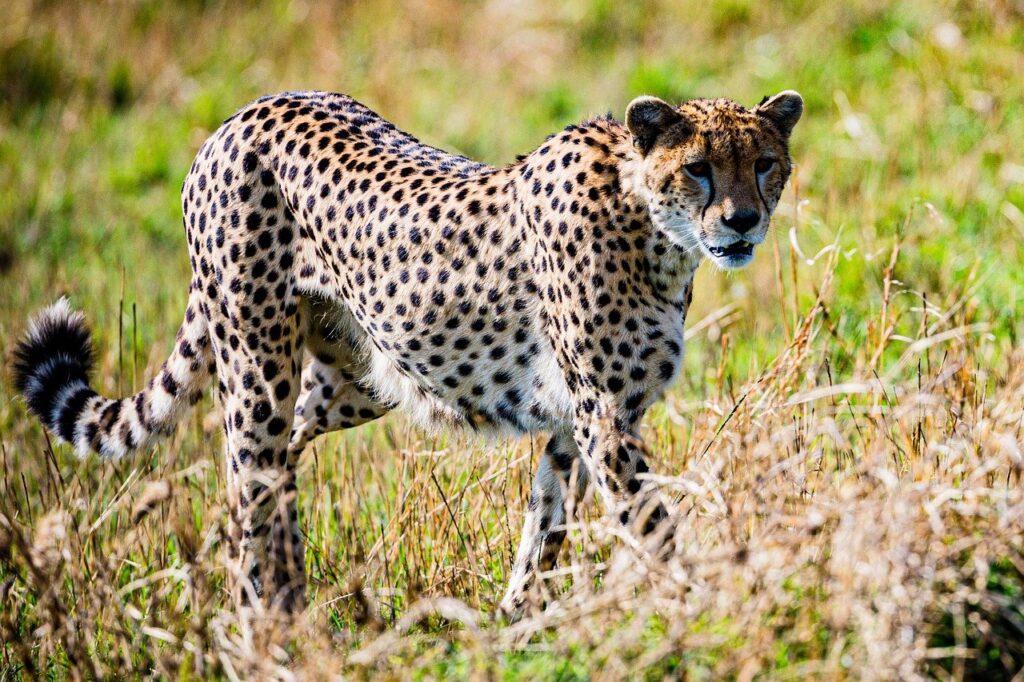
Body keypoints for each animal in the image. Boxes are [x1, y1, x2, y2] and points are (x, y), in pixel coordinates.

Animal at [12, 87, 802, 614]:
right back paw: (258, 623)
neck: (653, 227)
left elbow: (543, 532)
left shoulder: (576, 423)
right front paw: (707, 605)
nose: (742, 221)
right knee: (245, 478)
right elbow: (655, 530)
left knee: (279, 461)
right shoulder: (604, 418)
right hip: (257, 365)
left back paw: (294, 601)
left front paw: (516, 627)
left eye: (765, 162)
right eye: (698, 167)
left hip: (355, 378)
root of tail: (244, 113)